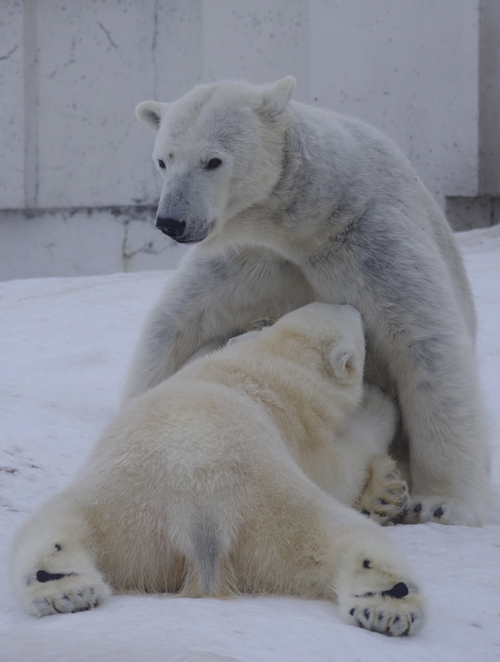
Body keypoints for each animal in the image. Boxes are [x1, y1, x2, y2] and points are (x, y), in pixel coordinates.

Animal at [9, 304, 424, 640]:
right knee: (353, 535)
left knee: (52, 531)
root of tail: (199, 516)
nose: (356, 308)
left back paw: (65, 589)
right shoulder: (304, 433)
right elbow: (346, 465)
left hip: (125, 517)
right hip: (274, 511)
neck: (264, 363)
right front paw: (382, 408)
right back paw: (391, 604)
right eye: (350, 317)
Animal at [130, 75, 492, 528]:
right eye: (163, 160)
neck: (310, 222)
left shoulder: (372, 241)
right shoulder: (254, 260)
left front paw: (443, 503)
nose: (171, 221)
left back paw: (384, 491)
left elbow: (427, 344)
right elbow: (176, 327)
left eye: (213, 160)